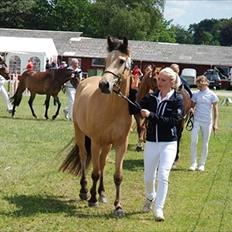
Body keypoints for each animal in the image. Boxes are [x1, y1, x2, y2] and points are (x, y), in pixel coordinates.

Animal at [59, 36, 132, 218]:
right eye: (106, 60)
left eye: (121, 61)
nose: (104, 85)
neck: (113, 109)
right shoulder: (96, 141)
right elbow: (95, 172)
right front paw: (91, 199)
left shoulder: (121, 144)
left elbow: (117, 175)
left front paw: (118, 207)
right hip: (81, 134)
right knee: (84, 157)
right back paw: (85, 191)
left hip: (107, 145)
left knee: (103, 162)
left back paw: (102, 193)